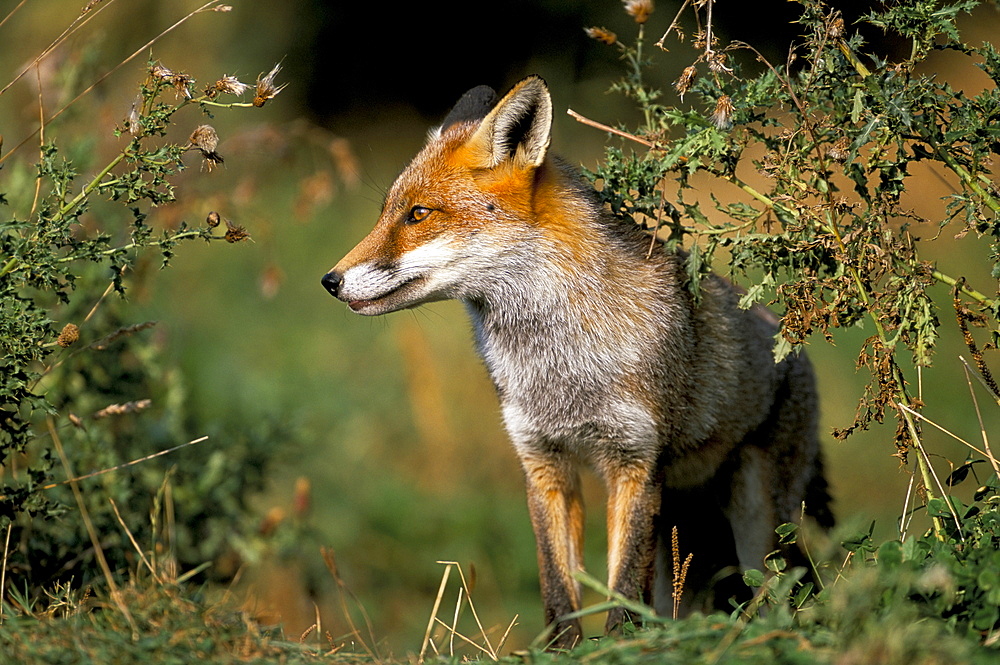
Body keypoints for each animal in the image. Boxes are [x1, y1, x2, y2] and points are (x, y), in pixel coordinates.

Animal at [320, 75, 828, 644]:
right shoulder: (542, 461)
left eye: (419, 214)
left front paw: (621, 648)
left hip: (758, 523)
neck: (560, 366)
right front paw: (563, 650)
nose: (330, 281)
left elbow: (623, 592)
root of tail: (790, 340)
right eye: (387, 211)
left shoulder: (635, 462)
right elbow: (558, 592)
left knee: (779, 595)